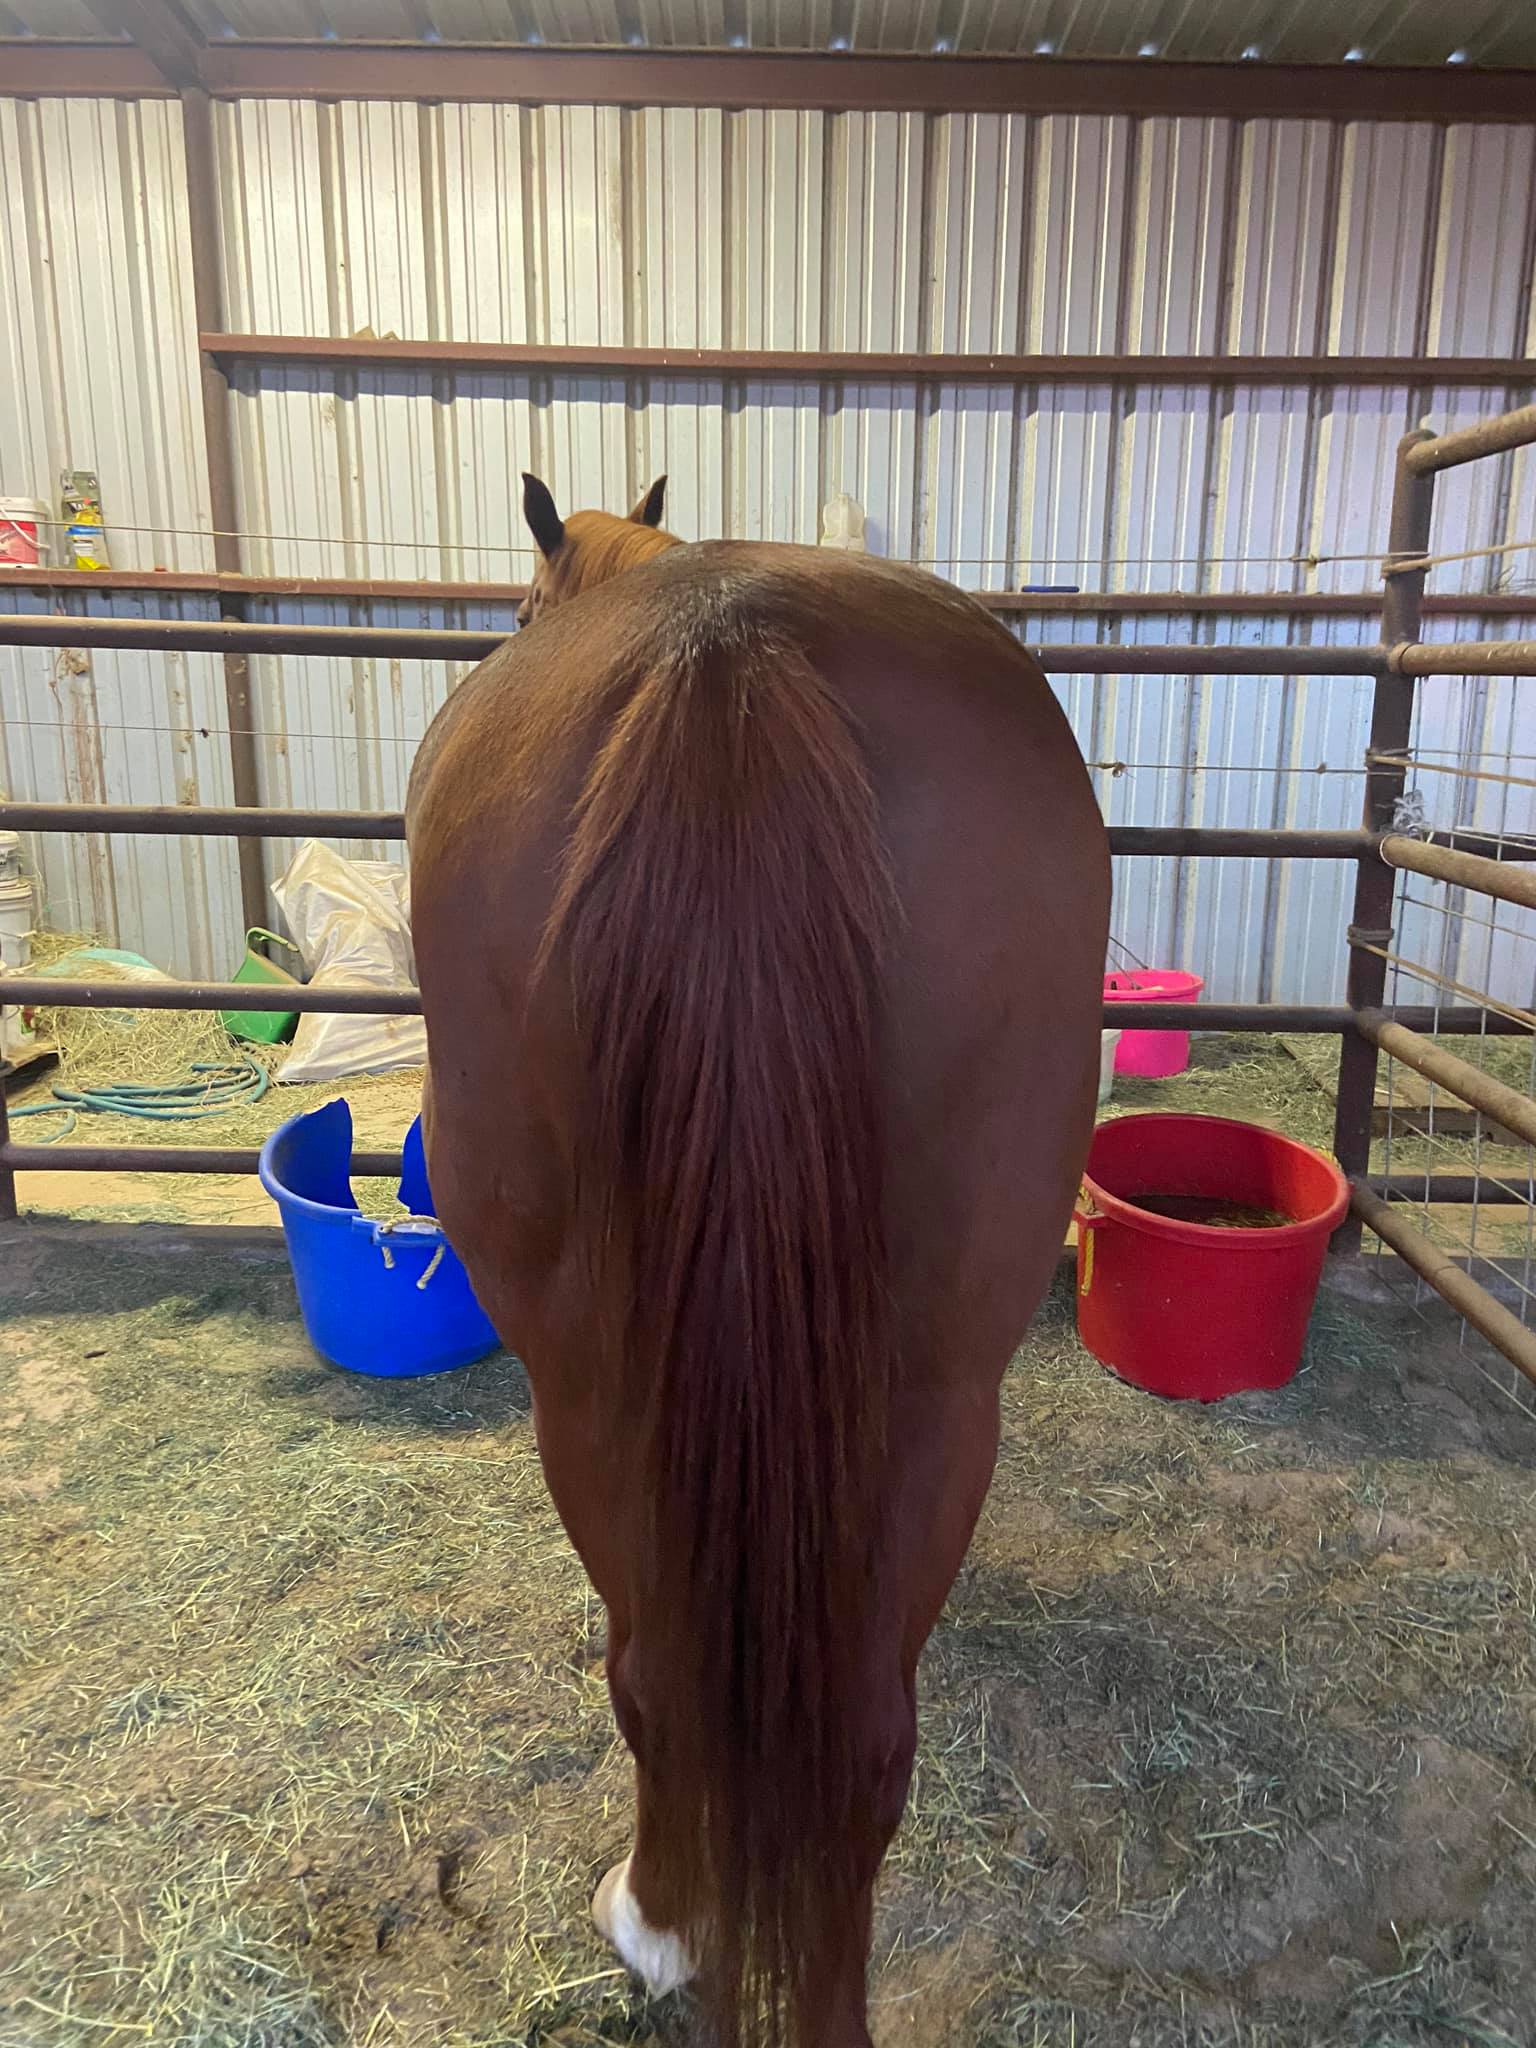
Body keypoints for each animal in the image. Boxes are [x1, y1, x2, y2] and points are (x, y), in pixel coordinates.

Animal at [406, 473, 1111, 2046]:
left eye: (519, 600)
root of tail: (728, 657)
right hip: (940, 1387)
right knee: (864, 1743)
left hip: (584, 1388)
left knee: (657, 1671)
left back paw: (659, 1919)